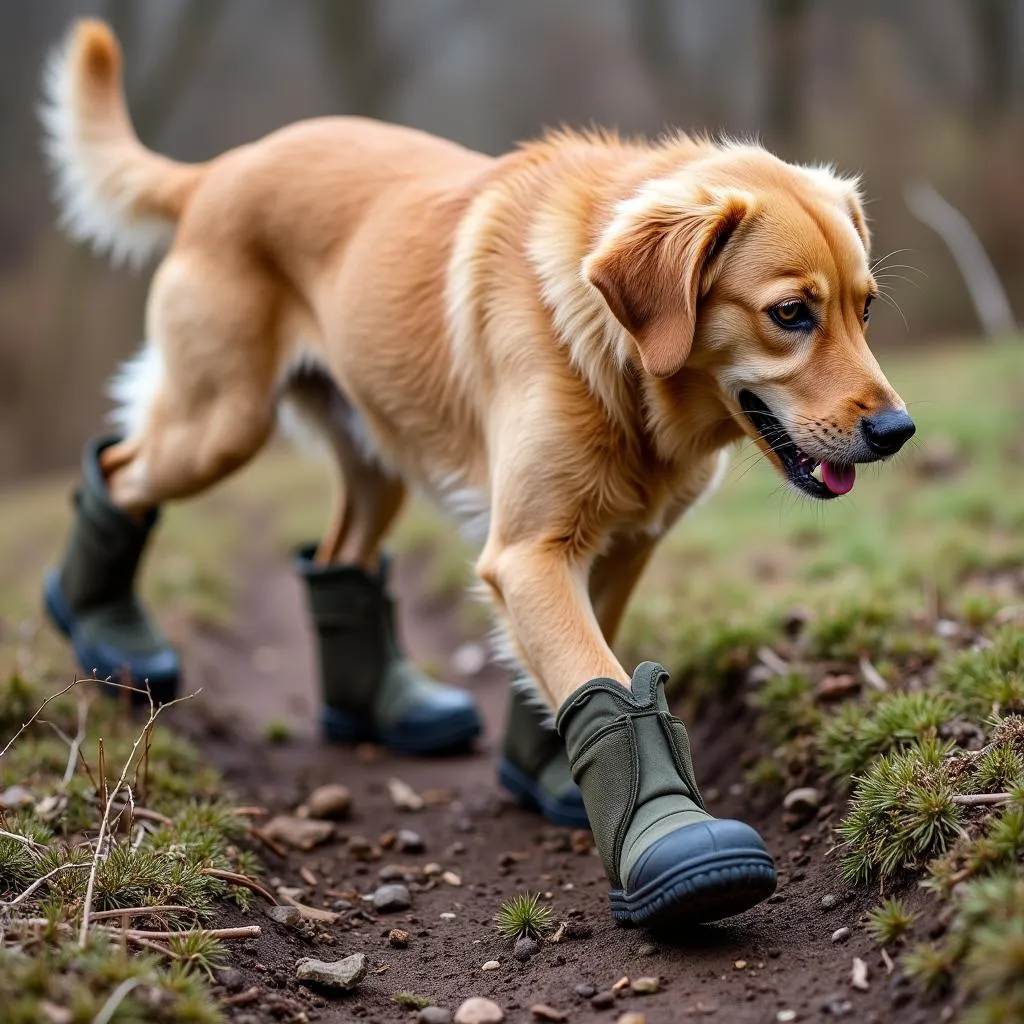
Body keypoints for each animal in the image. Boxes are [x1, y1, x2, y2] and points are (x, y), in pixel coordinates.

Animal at [39, 19, 917, 925]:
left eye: (866, 309)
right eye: (791, 314)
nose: (899, 431)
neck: (618, 361)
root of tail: (221, 168)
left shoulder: (621, 545)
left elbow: (583, 662)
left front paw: (548, 774)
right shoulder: (528, 552)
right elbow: (589, 666)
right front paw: (669, 836)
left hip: (373, 461)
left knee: (338, 559)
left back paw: (376, 711)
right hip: (220, 424)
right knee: (121, 471)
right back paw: (99, 625)